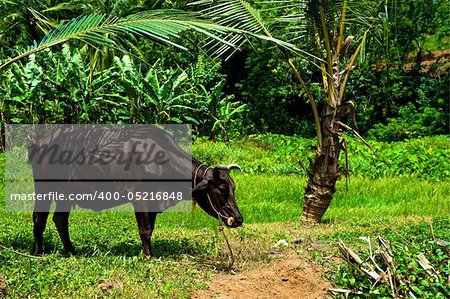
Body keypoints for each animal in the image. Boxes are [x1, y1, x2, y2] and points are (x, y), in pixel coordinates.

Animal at [27, 126, 243, 258]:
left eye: (234, 187)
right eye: (222, 188)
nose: (239, 219)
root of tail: (40, 141)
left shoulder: (155, 200)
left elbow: (150, 229)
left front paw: (149, 252)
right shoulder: (139, 196)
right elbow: (144, 229)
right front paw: (148, 256)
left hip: (65, 193)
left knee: (60, 220)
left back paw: (71, 250)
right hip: (44, 188)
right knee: (39, 217)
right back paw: (38, 251)